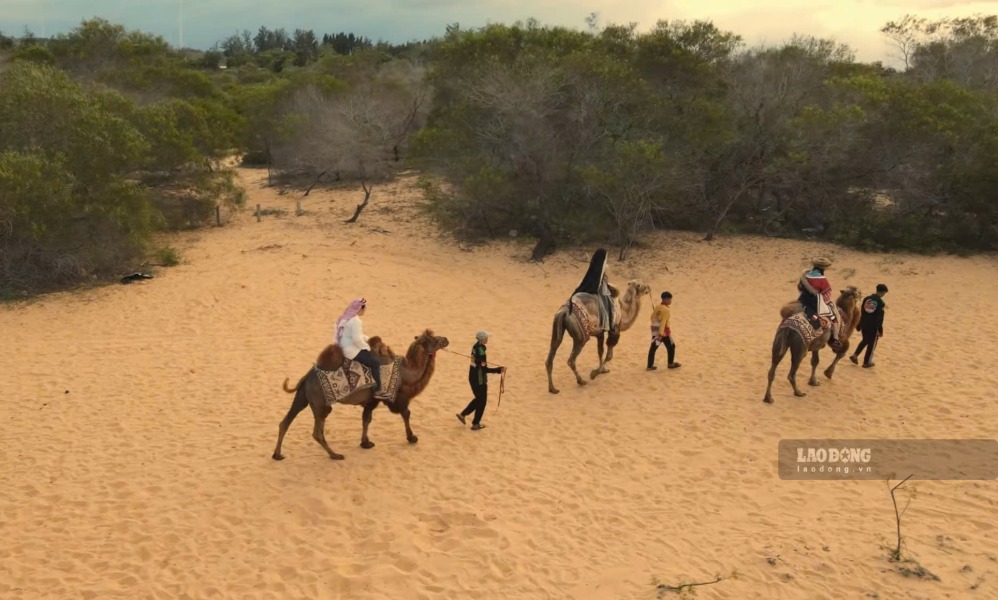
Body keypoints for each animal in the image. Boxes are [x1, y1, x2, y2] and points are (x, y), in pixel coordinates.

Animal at [272, 329, 450, 460]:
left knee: (285, 421)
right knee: (317, 432)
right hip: (321, 403)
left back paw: (277, 454)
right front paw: (412, 437)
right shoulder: (394, 398)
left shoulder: (371, 401)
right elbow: (406, 413)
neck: (406, 374)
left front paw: (366, 442)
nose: (446, 339)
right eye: (433, 339)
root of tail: (306, 377)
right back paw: (335, 455)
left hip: (303, 396)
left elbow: (366, 419)